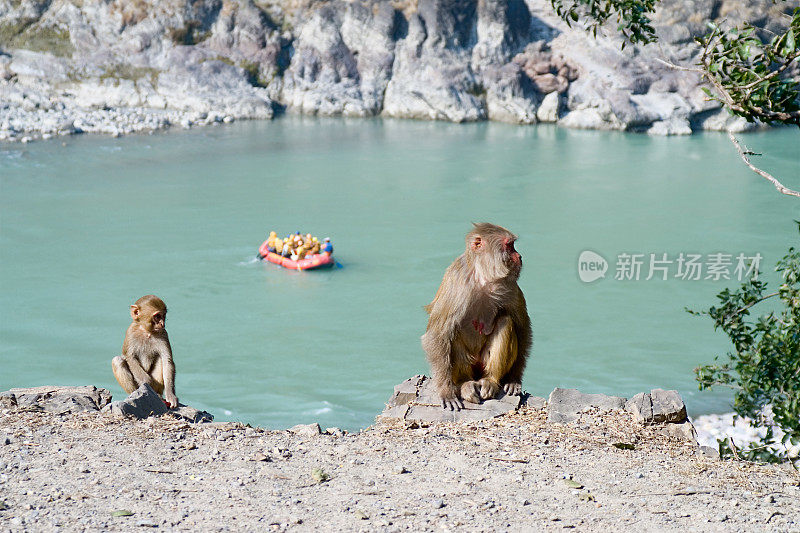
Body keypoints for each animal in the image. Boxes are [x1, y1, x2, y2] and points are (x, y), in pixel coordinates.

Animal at [418, 222, 532, 410]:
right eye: (509, 246)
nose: (520, 256)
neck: (483, 276)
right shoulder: (456, 283)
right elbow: (438, 334)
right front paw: (446, 391)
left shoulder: (509, 284)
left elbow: (521, 327)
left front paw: (514, 379)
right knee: (453, 333)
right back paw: (465, 383)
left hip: (482, 365)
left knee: (505, 321)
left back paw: (491, 380)